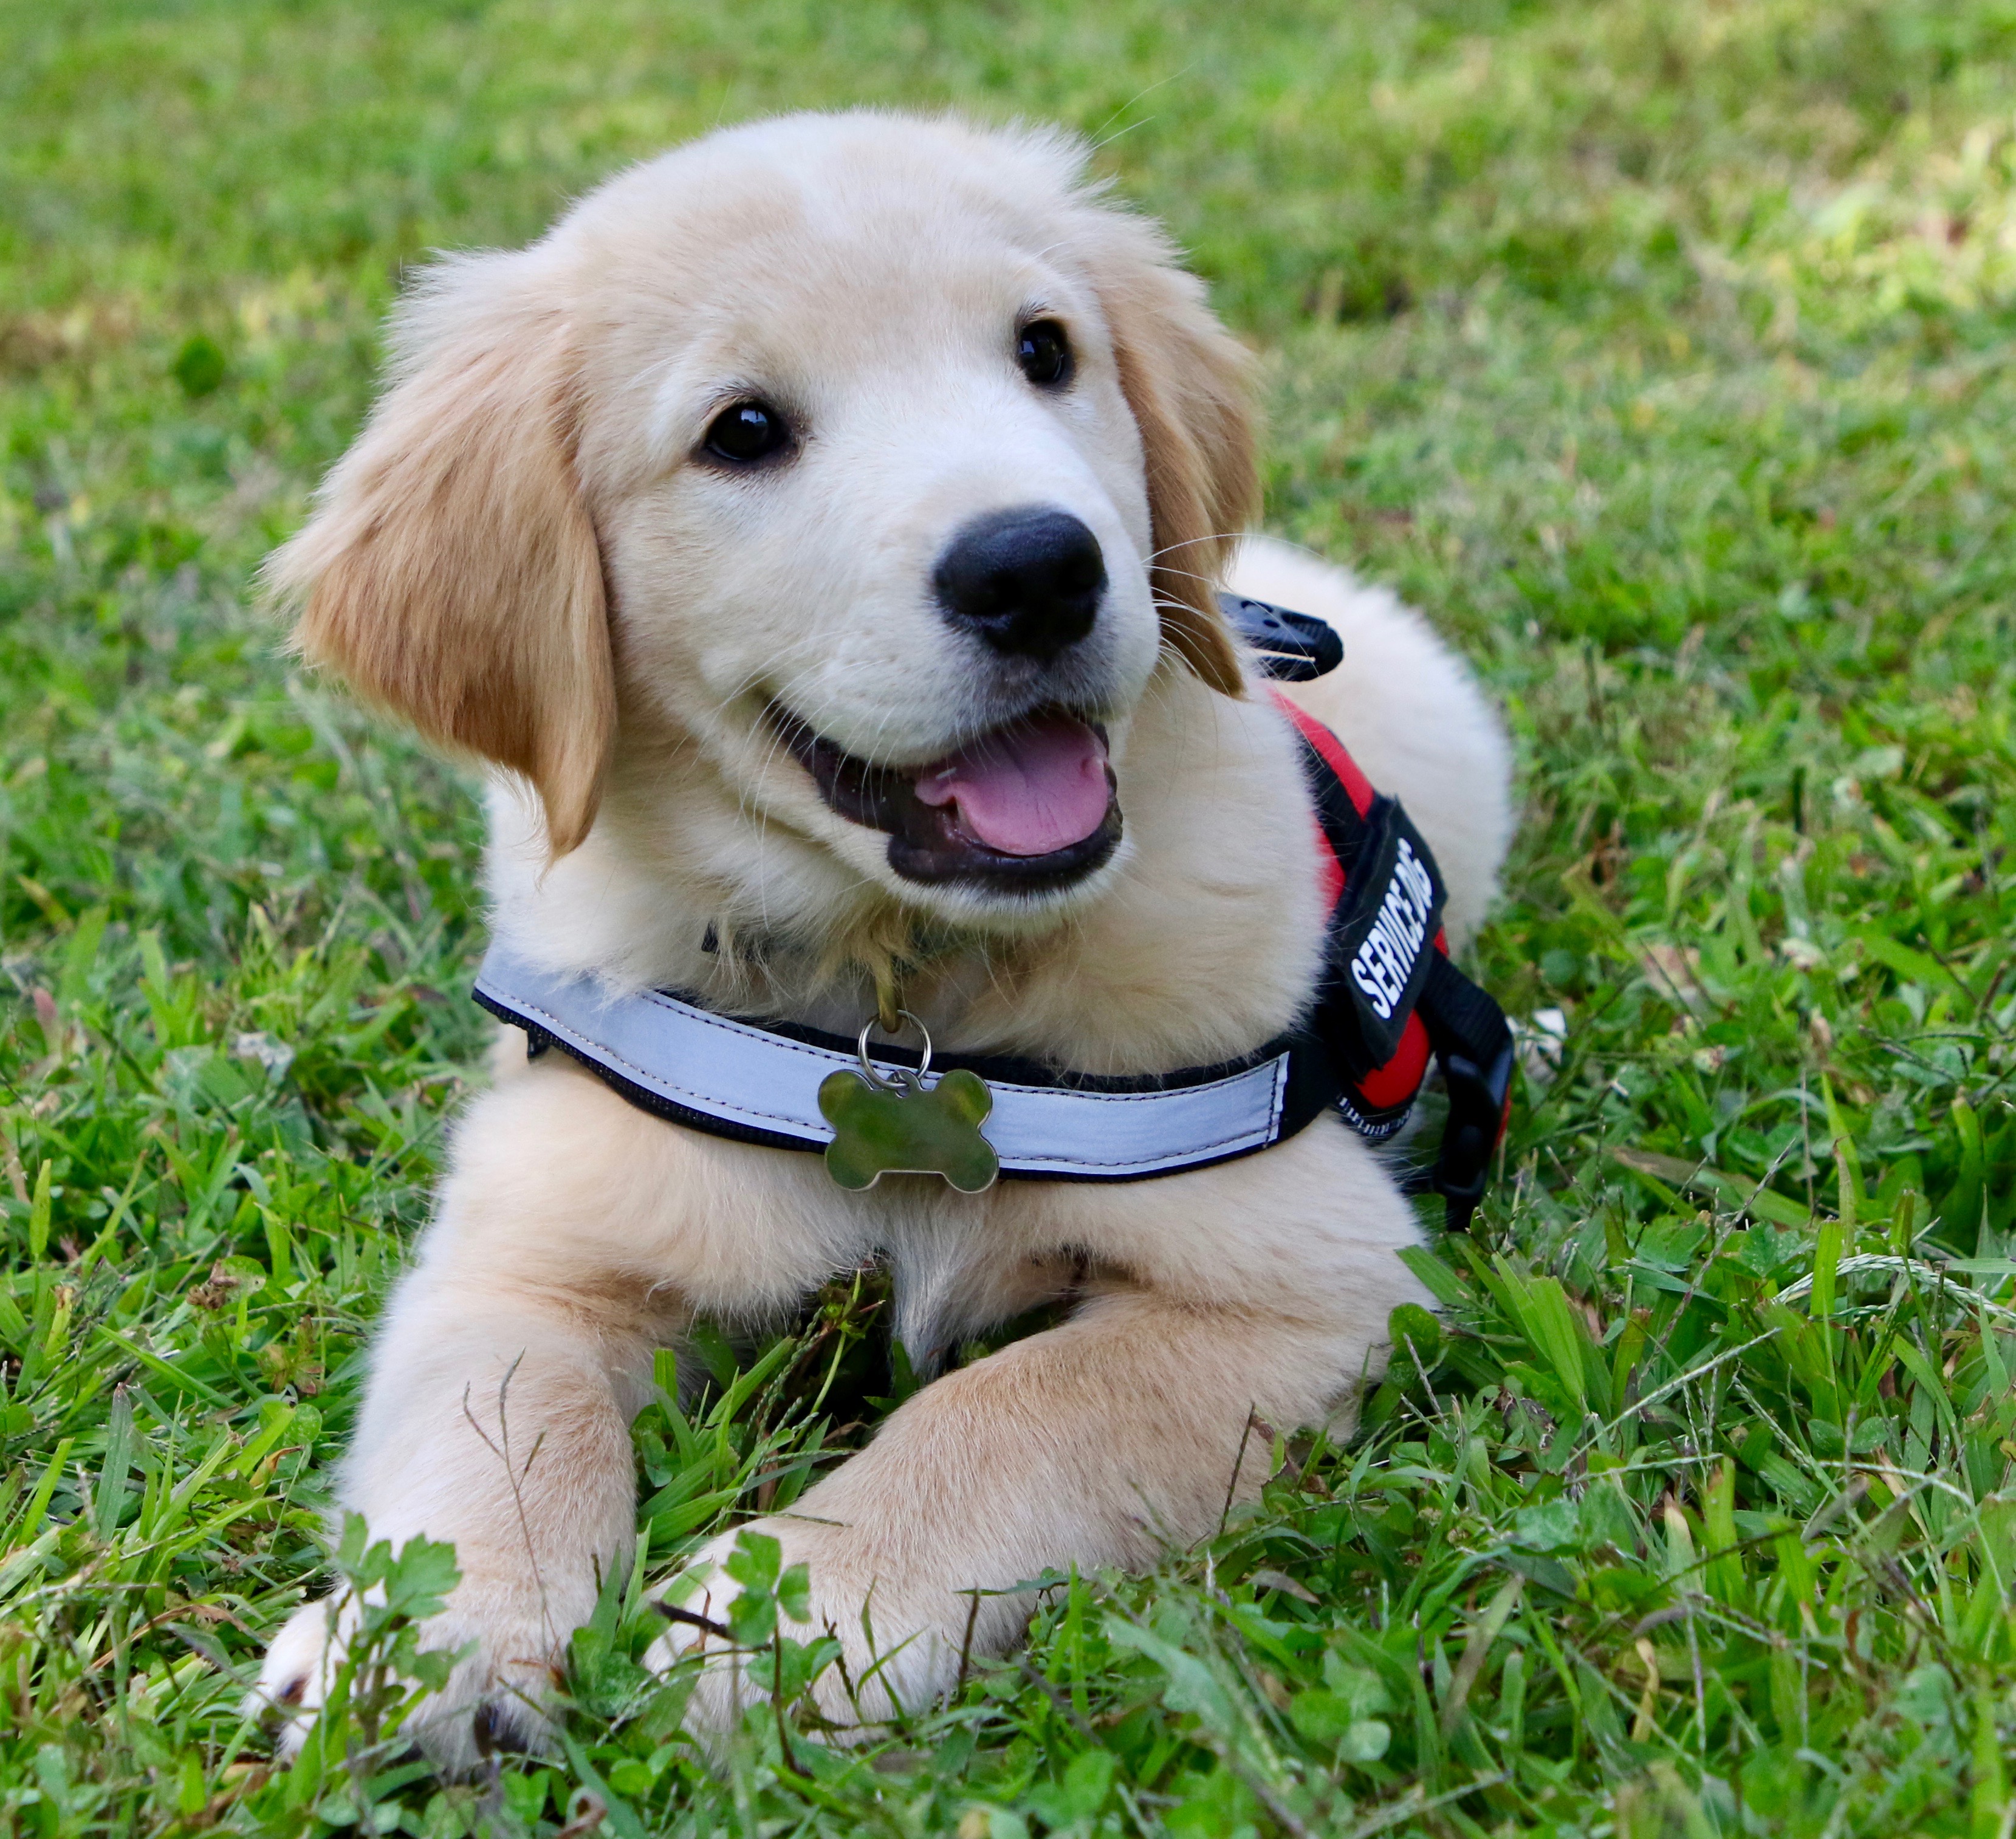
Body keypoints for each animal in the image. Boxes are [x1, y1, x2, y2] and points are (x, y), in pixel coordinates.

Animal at [256, 104, 1516, 1766]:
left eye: (1045, 349)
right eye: (740, 431)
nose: (1039, 566)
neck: (904, 995)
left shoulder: (1306, 1273)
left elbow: (1010, 1413)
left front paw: (786, 1621)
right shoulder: (532, 1243)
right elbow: (500, 1417)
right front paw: (427, 1638)